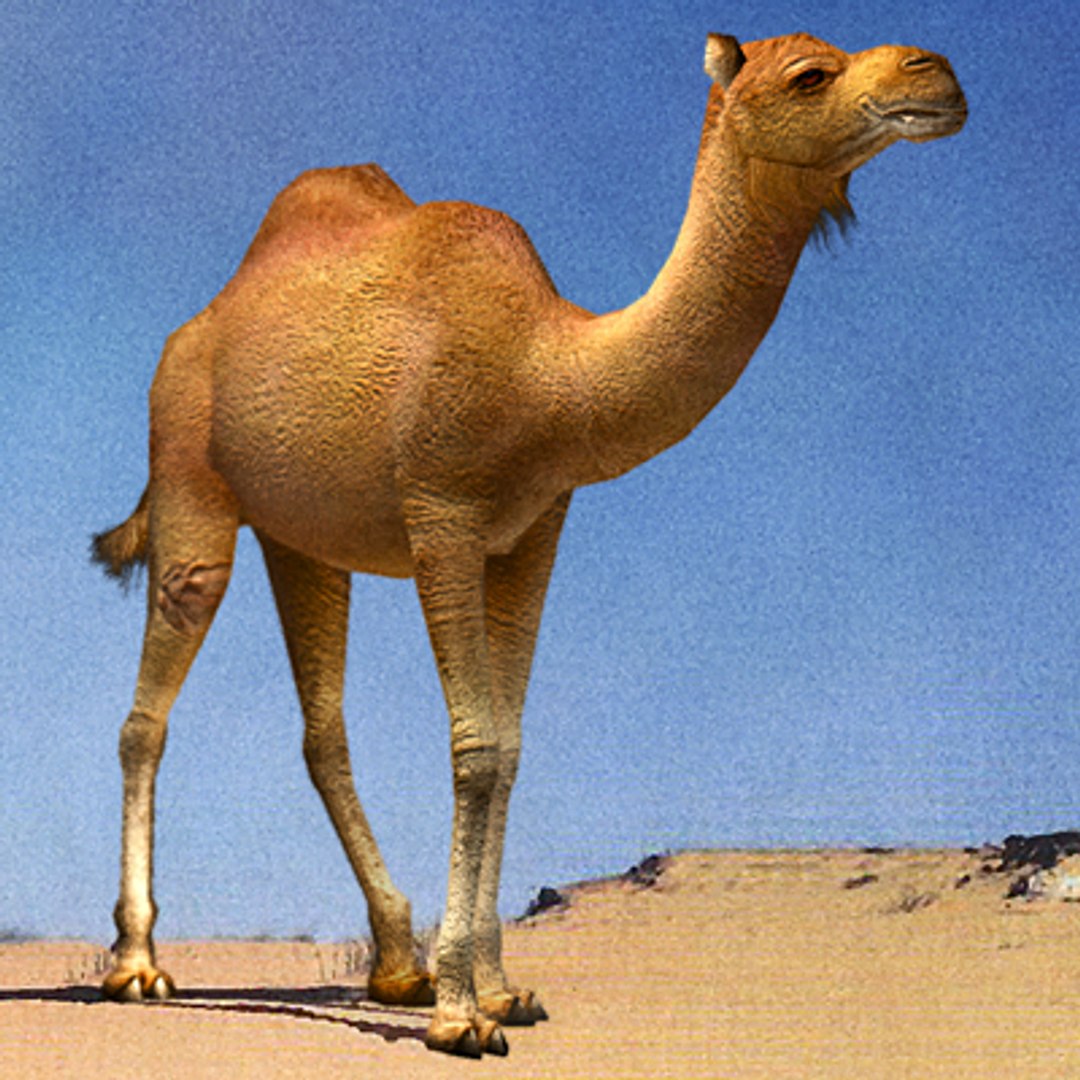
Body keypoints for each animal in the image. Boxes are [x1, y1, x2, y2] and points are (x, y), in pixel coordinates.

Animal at [92, 31, 966, 1057]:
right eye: (810, 76)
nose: (937, 73)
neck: (551, 374)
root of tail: (196, 325)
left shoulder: (536, 528)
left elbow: (509, 747)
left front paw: (500, 992)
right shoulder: (443, 513)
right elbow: (475, 746)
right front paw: (460, 1016)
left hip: (304, 538)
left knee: (321, 729)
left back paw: (395, 966)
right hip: (192, 474)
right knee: (147, 713)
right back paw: (137, 966)